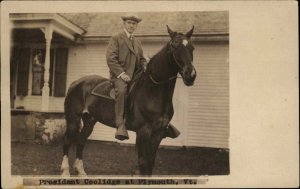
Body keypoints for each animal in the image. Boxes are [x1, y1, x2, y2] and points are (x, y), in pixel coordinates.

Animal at [60, 25, 197, 176]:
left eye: (192, 47)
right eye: (174, 46)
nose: (190, 75)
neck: (152, 91)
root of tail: (76, 83)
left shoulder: (158, 133)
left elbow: (150, 163)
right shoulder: (143, 132)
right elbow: (143, 163)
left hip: (90, 120)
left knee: (81, 141)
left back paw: (81, 172)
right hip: (73, 119)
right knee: (67, 141)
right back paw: (65, 172)